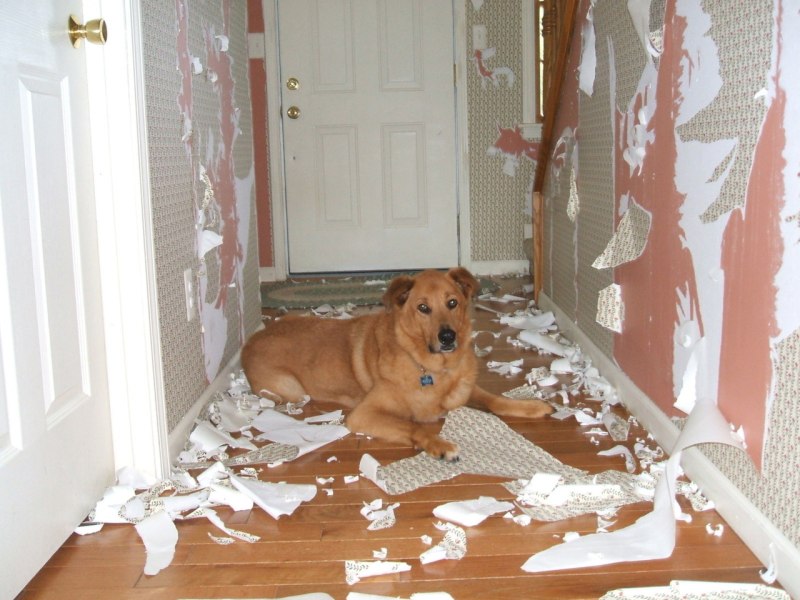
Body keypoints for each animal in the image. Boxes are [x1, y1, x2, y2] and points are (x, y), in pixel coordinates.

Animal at [241, 268, 552, 460]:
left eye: (452, 303)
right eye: (423, 308)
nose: (447, 337)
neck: (431, 369)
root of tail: (251, 340)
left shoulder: (464, 390)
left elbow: (496, 400)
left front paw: (531, 407)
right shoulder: (364, 414)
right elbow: (417, 428)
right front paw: (439, 445)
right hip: (290, 389)